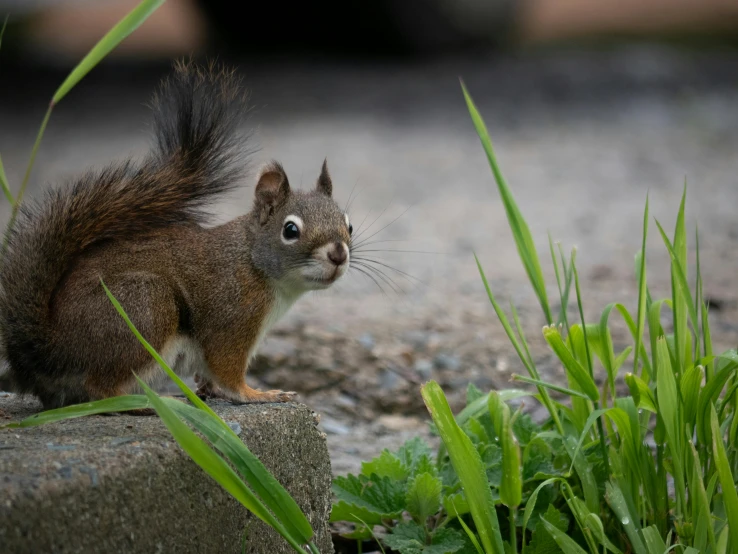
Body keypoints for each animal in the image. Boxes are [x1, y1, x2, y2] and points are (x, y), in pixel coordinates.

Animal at [0, 61, 354, 410]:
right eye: (290, 230)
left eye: (348, 225)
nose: (338, 254)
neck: (254, 263)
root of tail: (50, 350)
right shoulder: (231, 319)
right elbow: (228, 371)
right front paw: (258, 394)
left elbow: (209, 375)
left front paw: (211, 391)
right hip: (144, 305)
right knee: (99, 387)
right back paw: (145, 402)